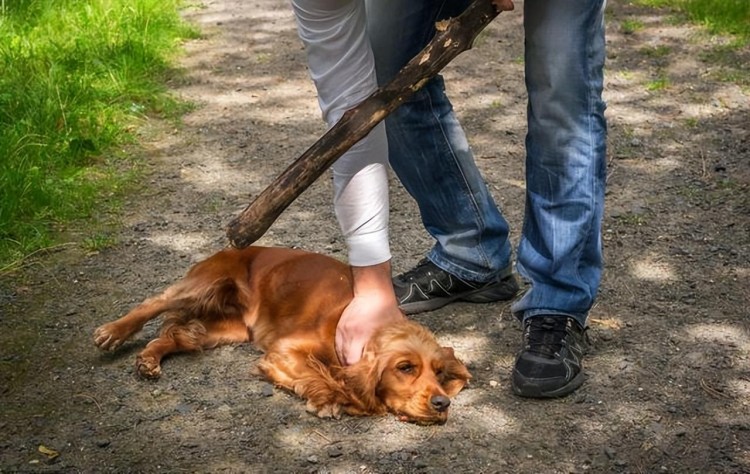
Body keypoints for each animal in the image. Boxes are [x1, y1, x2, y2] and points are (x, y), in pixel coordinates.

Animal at [92, 246, 470, 424]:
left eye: (439, 373)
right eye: (405, 368)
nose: (442, 403)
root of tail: (232, 247)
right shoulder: (284, 350)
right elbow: (321, 375)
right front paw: (333, 399)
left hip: (228, 329)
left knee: (178, 335)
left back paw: (148, 359)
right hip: (204, 284)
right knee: (154, 302)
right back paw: (112, 332)